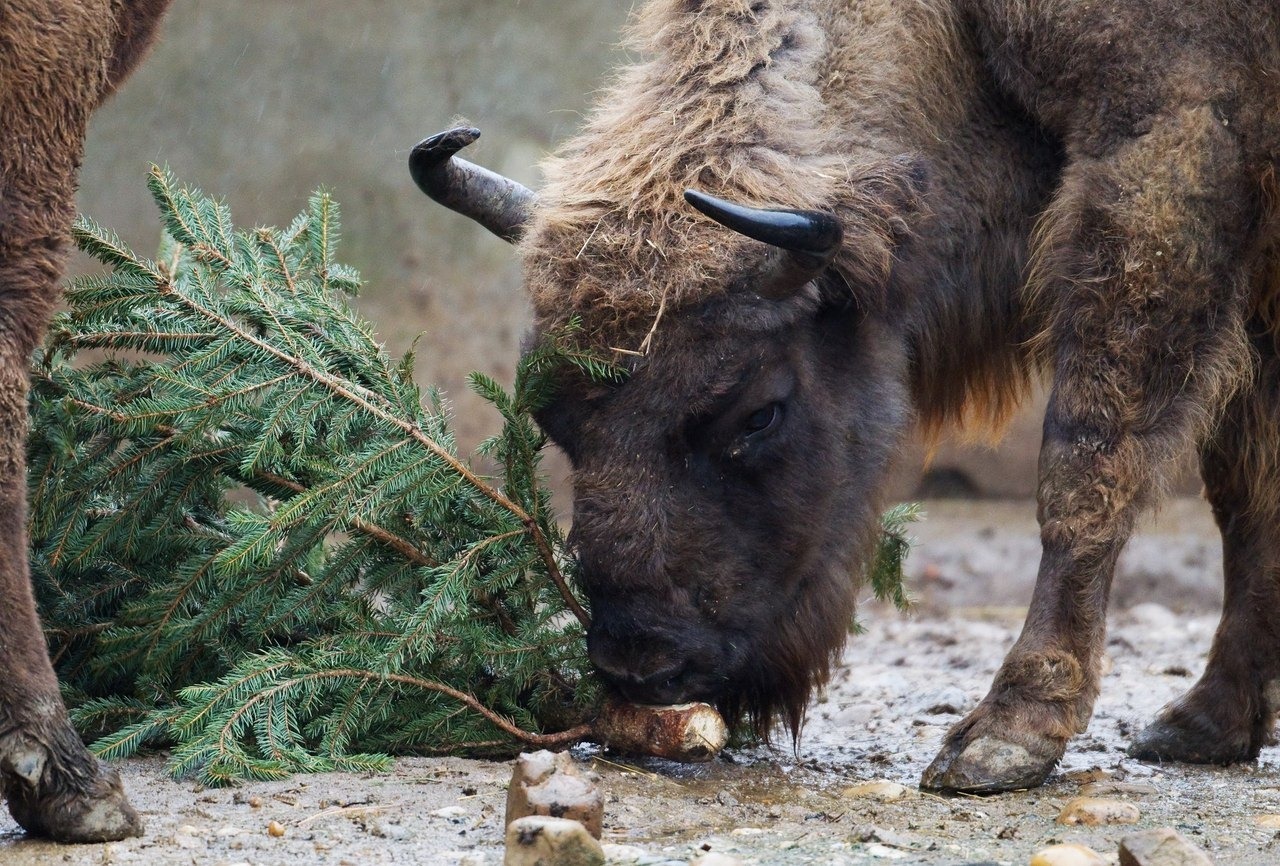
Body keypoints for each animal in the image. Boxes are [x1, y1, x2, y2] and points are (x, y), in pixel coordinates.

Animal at [412, 0, 1280, 787]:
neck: (955, 32)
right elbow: (1247, 496)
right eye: (551, 419)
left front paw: (1004, 737)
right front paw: (1207, 725)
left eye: (759, 413)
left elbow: (1088, 465)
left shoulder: (1166, 143)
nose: (640, 665)